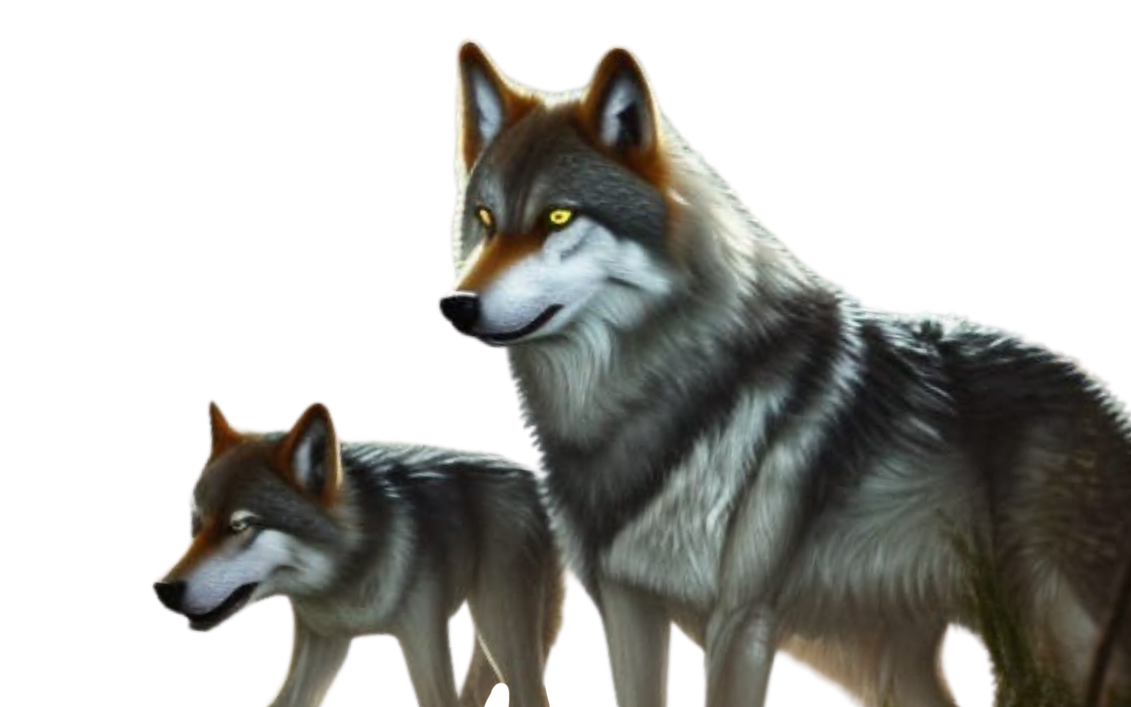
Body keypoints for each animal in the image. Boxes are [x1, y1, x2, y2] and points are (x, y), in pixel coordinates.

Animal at [150, 397, 568, 706]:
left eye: (240, 525)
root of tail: (534, 479)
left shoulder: (424, 641)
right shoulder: (320, 644)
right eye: (193, 524)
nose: (161, 588)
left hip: (503, 632)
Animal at [435, 36, 1131, 706]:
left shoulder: (742, 620)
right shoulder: (627, 610)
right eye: (487, 219)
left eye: (557, 217)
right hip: (895, 664)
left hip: (1056, 639)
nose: (455, 304)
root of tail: (1101, 397)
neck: (651, 394)